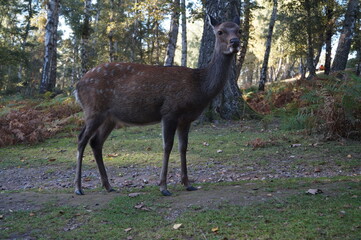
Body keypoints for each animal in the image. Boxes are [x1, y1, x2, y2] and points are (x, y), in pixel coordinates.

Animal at [74, 15, 240, 196]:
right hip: (93, 109)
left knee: (96, 142)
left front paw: (187, 183)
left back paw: (108, 186)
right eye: (220, 31)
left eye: (239, 29)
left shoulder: (186, 119)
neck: (199, 86)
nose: (235, 41)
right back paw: (78, 188)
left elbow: (183, 147)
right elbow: (167, 146)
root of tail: (77, 86)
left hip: (109, 118)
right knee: (81, 139)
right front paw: (163, 187)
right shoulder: (169, 111)